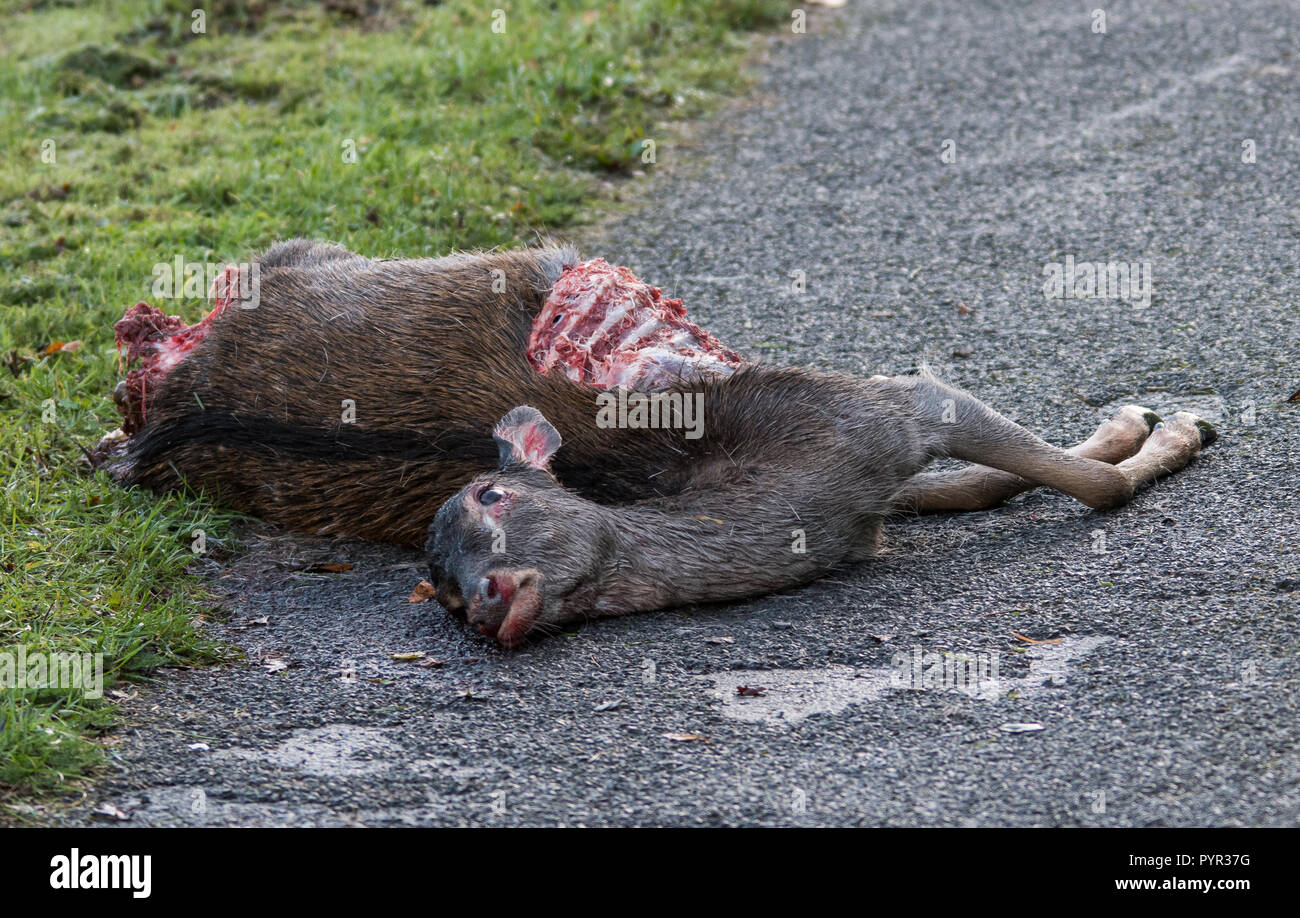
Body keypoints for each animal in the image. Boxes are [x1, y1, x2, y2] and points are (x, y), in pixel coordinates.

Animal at [96, 239, 1211, 647]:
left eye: (490, 499)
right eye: (445, 584)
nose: (483, 596)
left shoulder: (864, 480)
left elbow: (977, 486)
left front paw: (1134, 426)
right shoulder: (877, 414)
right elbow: (1075, 482)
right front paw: (1156, 432)